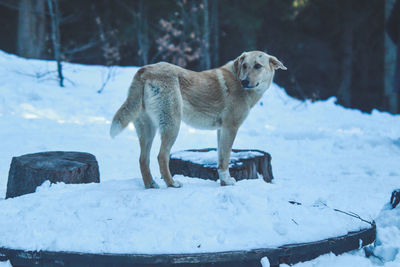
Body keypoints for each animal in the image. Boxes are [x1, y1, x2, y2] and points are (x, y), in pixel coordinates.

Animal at [109, 50, 286, 188]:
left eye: (258, 66)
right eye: (245, 66)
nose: (244, 81)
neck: (238, 79)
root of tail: (145, 70)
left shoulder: (221, 130)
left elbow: (220, 158)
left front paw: (223, 181)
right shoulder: (230, 127)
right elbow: (226, 158)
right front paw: (227, 182)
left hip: (148, 129)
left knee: (143, 159)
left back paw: (151, 185)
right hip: (172, 125)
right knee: (161, 156)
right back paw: (172, 183)